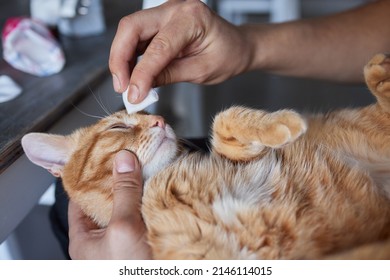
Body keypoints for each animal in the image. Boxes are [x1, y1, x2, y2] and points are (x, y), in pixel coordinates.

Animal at [21, 53, 390, 260]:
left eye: (150, 114)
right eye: (118, 127)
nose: (161, 121)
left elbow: (222, 123)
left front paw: (272, 124)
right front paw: (284, 124)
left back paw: (379, 70)